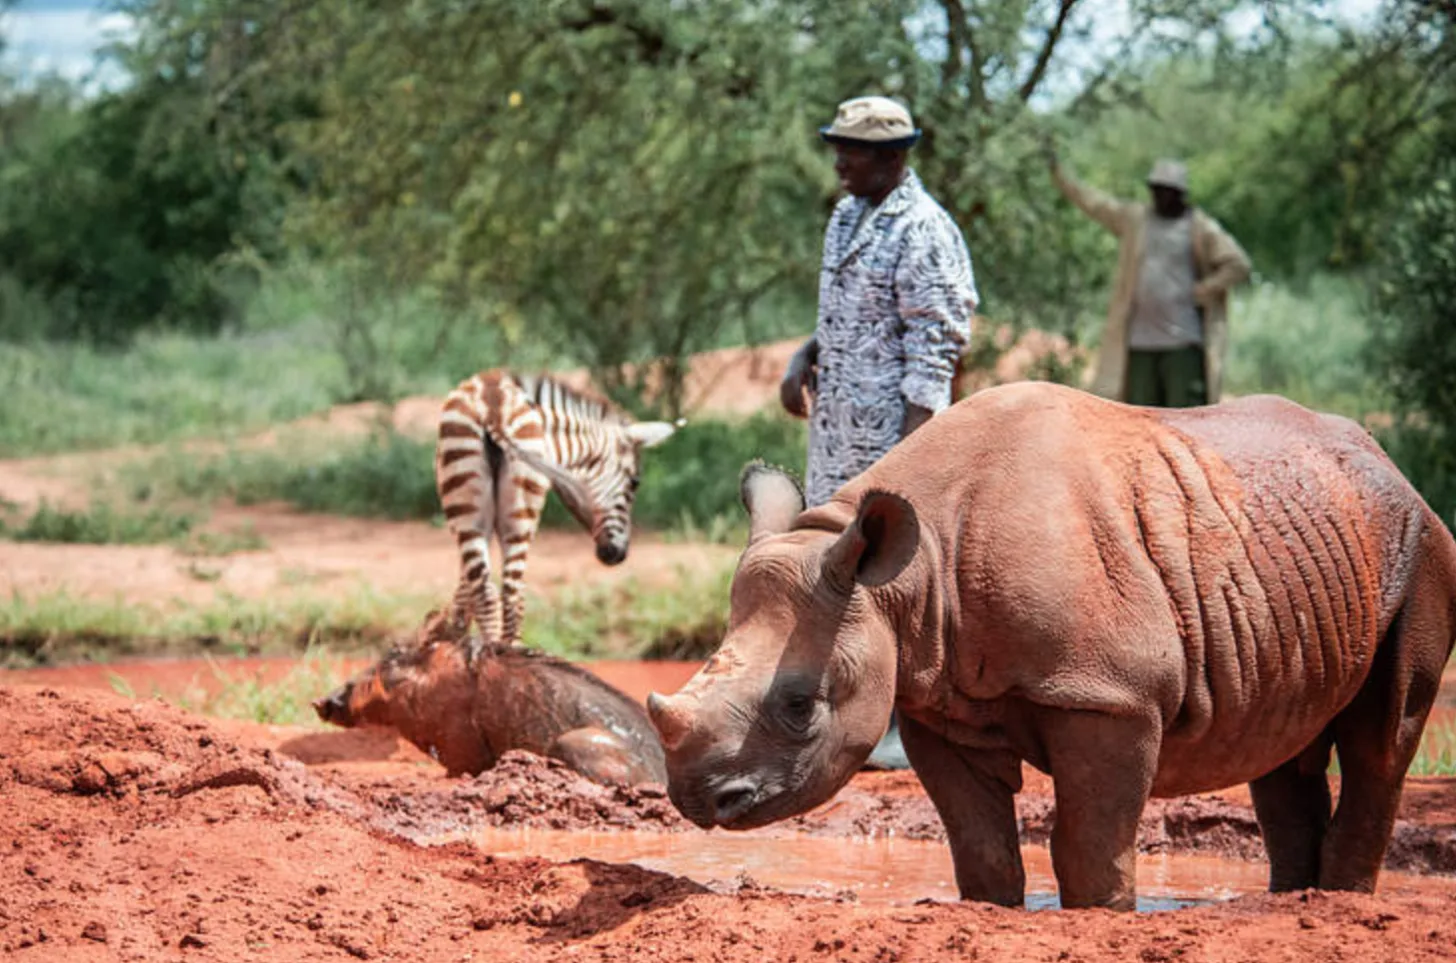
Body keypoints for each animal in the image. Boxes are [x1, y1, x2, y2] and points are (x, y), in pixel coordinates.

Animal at [434, 368, 682, 646]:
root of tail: (493, 403)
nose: (619, 554)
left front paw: (449, 635)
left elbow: (464, 587)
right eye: (635, 482)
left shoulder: (475, 527)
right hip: (521, 517)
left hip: (469, 505)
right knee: (512, 594)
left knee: (487, 592)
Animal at [646, 382, 1456, 910]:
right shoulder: (939, 698)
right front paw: (993, 910)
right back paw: (1293, 901)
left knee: (1381, 737)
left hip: (1421, 546)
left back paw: (1341, 903)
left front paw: (1101, 915)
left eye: (800, 706)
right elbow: (978, 843)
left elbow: (1090, 843)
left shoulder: (1109, 696)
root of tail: (1390, 463)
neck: (907, 581)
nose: (696, 799)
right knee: (1283, 739)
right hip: (1301, 543)